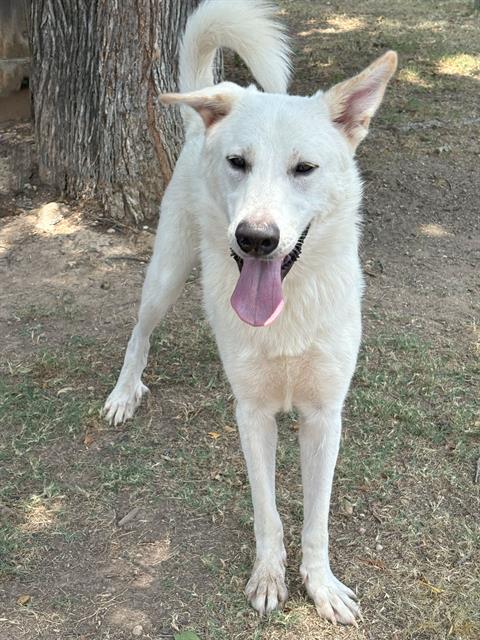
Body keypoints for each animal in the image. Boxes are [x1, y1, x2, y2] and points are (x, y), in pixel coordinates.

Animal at [105, 0, 398, 624]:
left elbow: (315, 521)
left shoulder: (324, 417)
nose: (256, 239)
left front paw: (321, 585)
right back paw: (123, 392)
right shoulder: (253, 416)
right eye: (238, 162)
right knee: (140, 332)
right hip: (166, 272)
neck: (284, 312)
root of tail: (199, 126)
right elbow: (268, 514)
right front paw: (268, 577)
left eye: (305, 169)